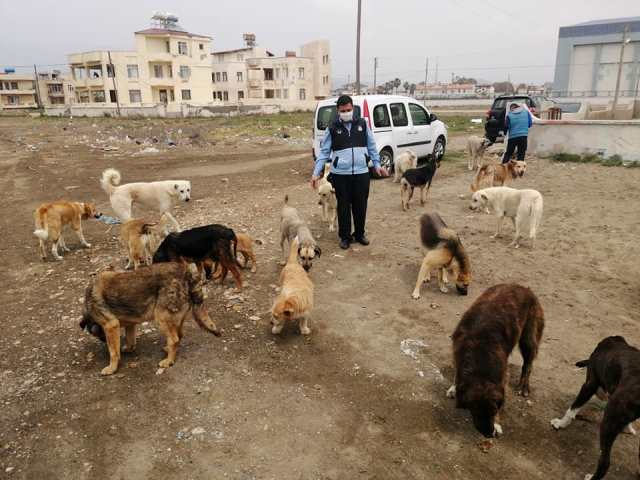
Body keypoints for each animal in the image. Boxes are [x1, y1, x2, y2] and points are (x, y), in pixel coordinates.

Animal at [80, 262, 221, 376]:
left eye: (97, 334)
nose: (104, 341)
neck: (88, 304)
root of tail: (185, 271)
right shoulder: (130, 323)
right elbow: (130, 339)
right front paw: (128, 348)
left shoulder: (110, 325)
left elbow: (113, 352)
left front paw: (112, 368)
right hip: (174, 318)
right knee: (179, 335)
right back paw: (168, 350)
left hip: (161, 318)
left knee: (174, 339)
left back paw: (168, 361)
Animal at [444, 284, 544, 438]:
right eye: (475, 411)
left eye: (494, 411)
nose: (489, 434)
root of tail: (524, 288)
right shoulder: (457, 352)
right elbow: (456, 375)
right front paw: (454, 387)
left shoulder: (502, 376)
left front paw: (497, 424)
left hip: (528, 339)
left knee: (528, 365)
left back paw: (524, 387)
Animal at [552, 336, 640, 480]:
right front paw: (629, 428)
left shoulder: (590, 384)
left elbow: (572, 409)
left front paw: (560, 423)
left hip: (608, 423)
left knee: (605, 462)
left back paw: (591, 477)